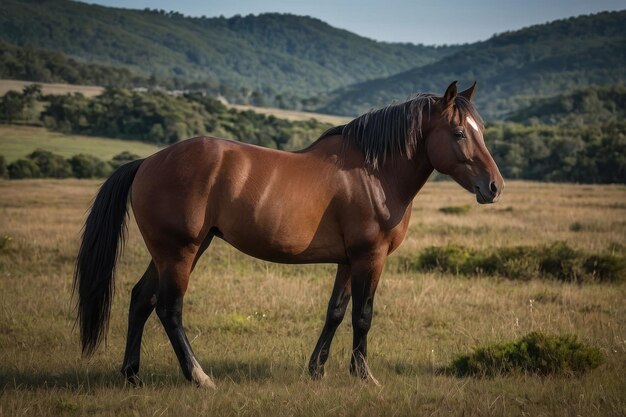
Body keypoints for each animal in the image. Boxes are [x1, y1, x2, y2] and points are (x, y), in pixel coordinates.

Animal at [73, 80, 502, 386]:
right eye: (459, 133)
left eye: (481, 130)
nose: (494, 187)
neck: (373, 173)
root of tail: (148, 161)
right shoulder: (370, 257)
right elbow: (362, 316)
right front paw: (364, 376)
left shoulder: (348, 261)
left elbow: (335, 312)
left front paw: (316, 370)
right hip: (180, 251)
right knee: (168, 308)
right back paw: (199, 377)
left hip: (173, 251)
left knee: (140, 300)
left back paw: (131, 374)